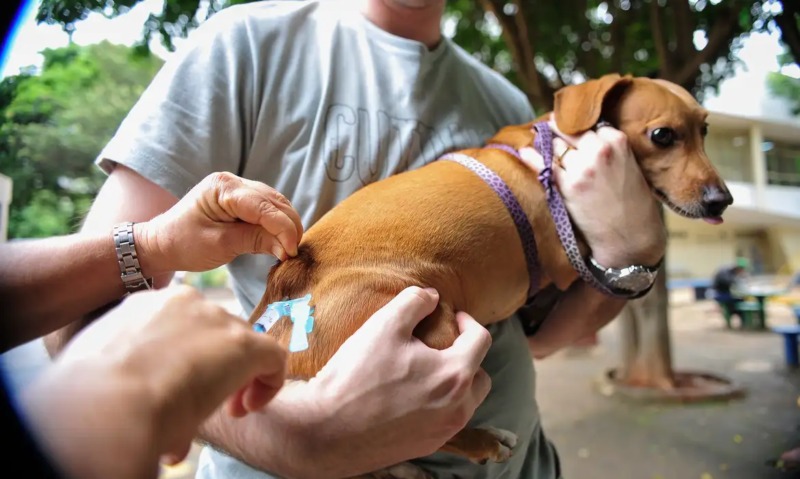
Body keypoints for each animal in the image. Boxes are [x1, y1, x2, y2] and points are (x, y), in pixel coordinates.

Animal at [248, 74, 732, 476]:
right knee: (422, 433)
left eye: (706, 130)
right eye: (663, 135)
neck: (547, 149)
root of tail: (287, 288)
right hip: (435, 326)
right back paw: (482, 441)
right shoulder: (568, 260)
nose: (721, 200)